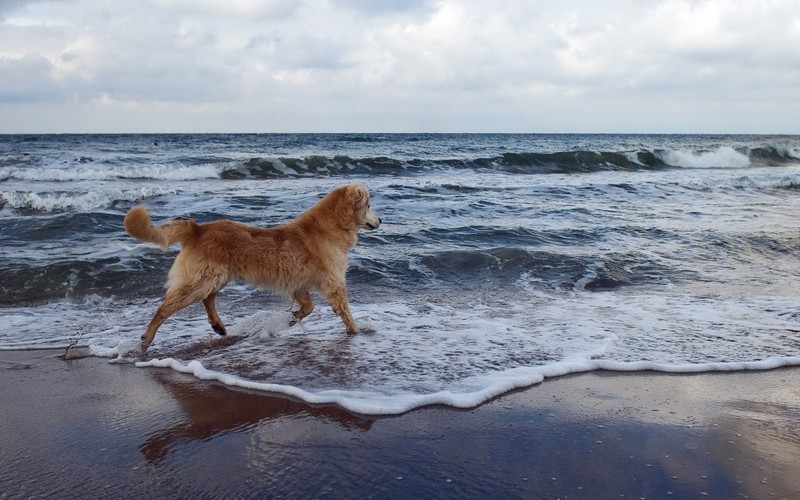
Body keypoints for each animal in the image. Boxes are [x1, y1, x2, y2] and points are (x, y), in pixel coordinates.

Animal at [124, 183, 382, 352]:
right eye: (369, 205)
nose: (381, 220)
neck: (329, 227)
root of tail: (197, 228)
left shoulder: (299, 284)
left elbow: (308, 307)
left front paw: (291, 319)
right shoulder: (334, 282)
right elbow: (344, 311)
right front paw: (356, 332)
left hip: (217, 276)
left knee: (208, 299)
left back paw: (218, 326)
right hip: (201, 279)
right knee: (166, 307)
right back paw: (147, 338)